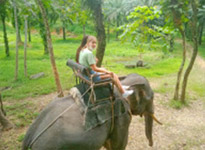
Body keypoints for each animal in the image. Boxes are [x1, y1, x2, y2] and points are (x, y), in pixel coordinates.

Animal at [22, 73, 160, 149]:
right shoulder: (122, 118)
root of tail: (29, 136)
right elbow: (118, 146)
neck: (122, 84)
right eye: (152, 97)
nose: (151, 145)